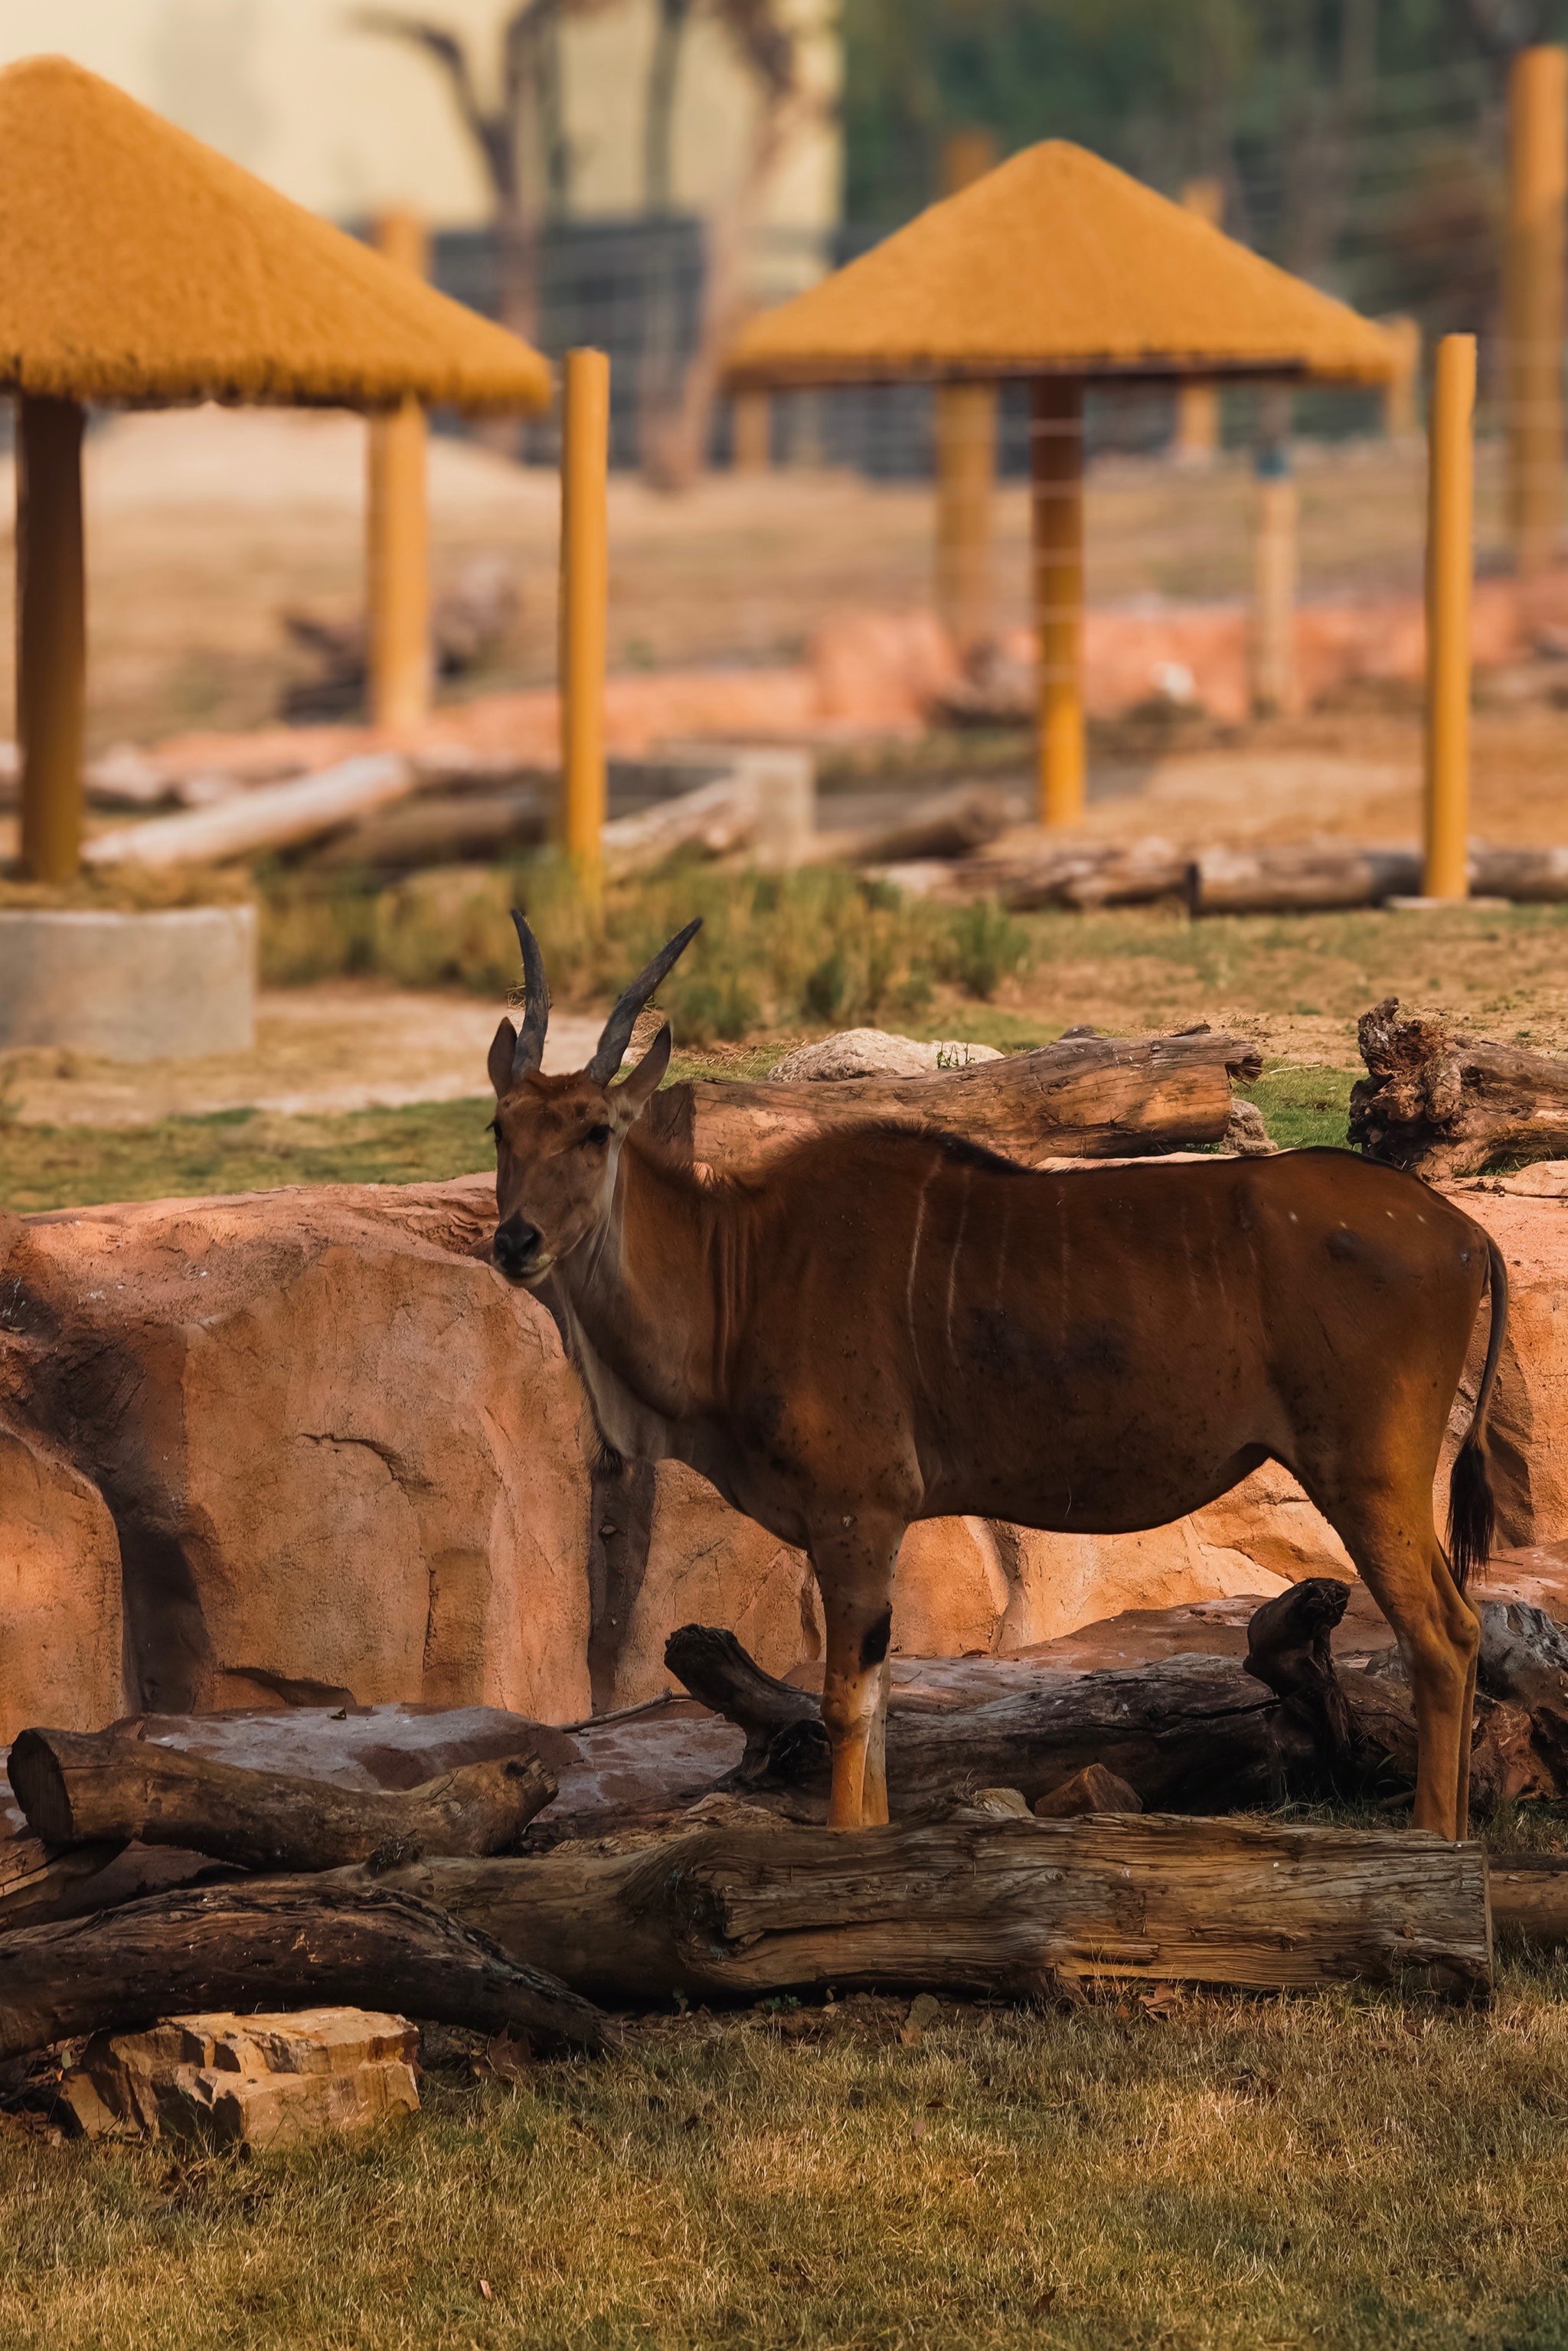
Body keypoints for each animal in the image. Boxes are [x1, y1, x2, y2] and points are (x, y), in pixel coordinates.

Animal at [486, 912, 1504, 1833]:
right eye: (501, 1126)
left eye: (595, 1129)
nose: (514, 1240)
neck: (738, 1263)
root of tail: (1460, 1230)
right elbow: (879, 1712)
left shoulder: (857, 1511)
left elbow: (846, 1710)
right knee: (1459, 1626)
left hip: (1365, 1471)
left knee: (1441, 1634)